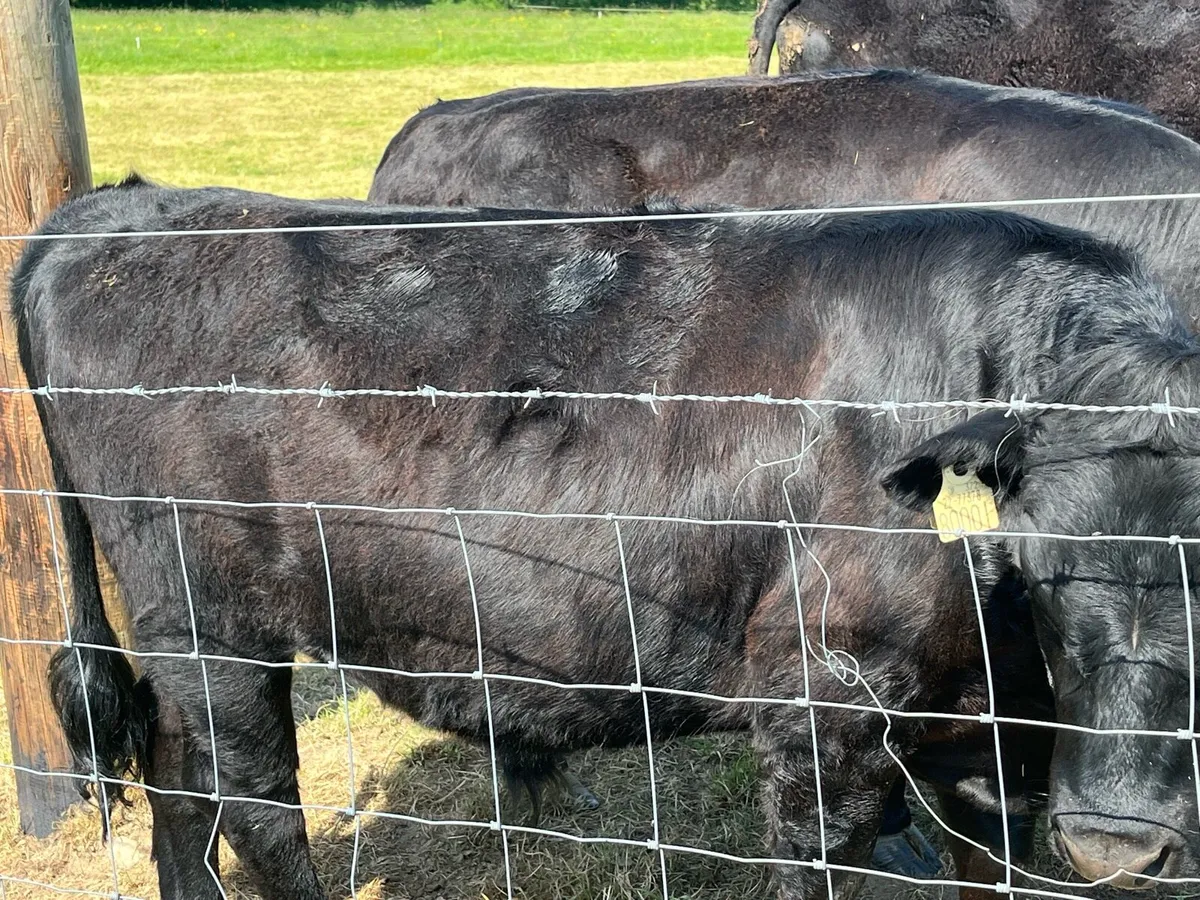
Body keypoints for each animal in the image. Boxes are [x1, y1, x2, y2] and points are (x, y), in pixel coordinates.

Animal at [18, 178, 1198, 900]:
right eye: (1037, 564)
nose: (1117, 842)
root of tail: (125, 210)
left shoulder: (973, 743)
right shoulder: (827, 713)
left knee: (179, 778)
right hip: (210, 621)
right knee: (257, 809)